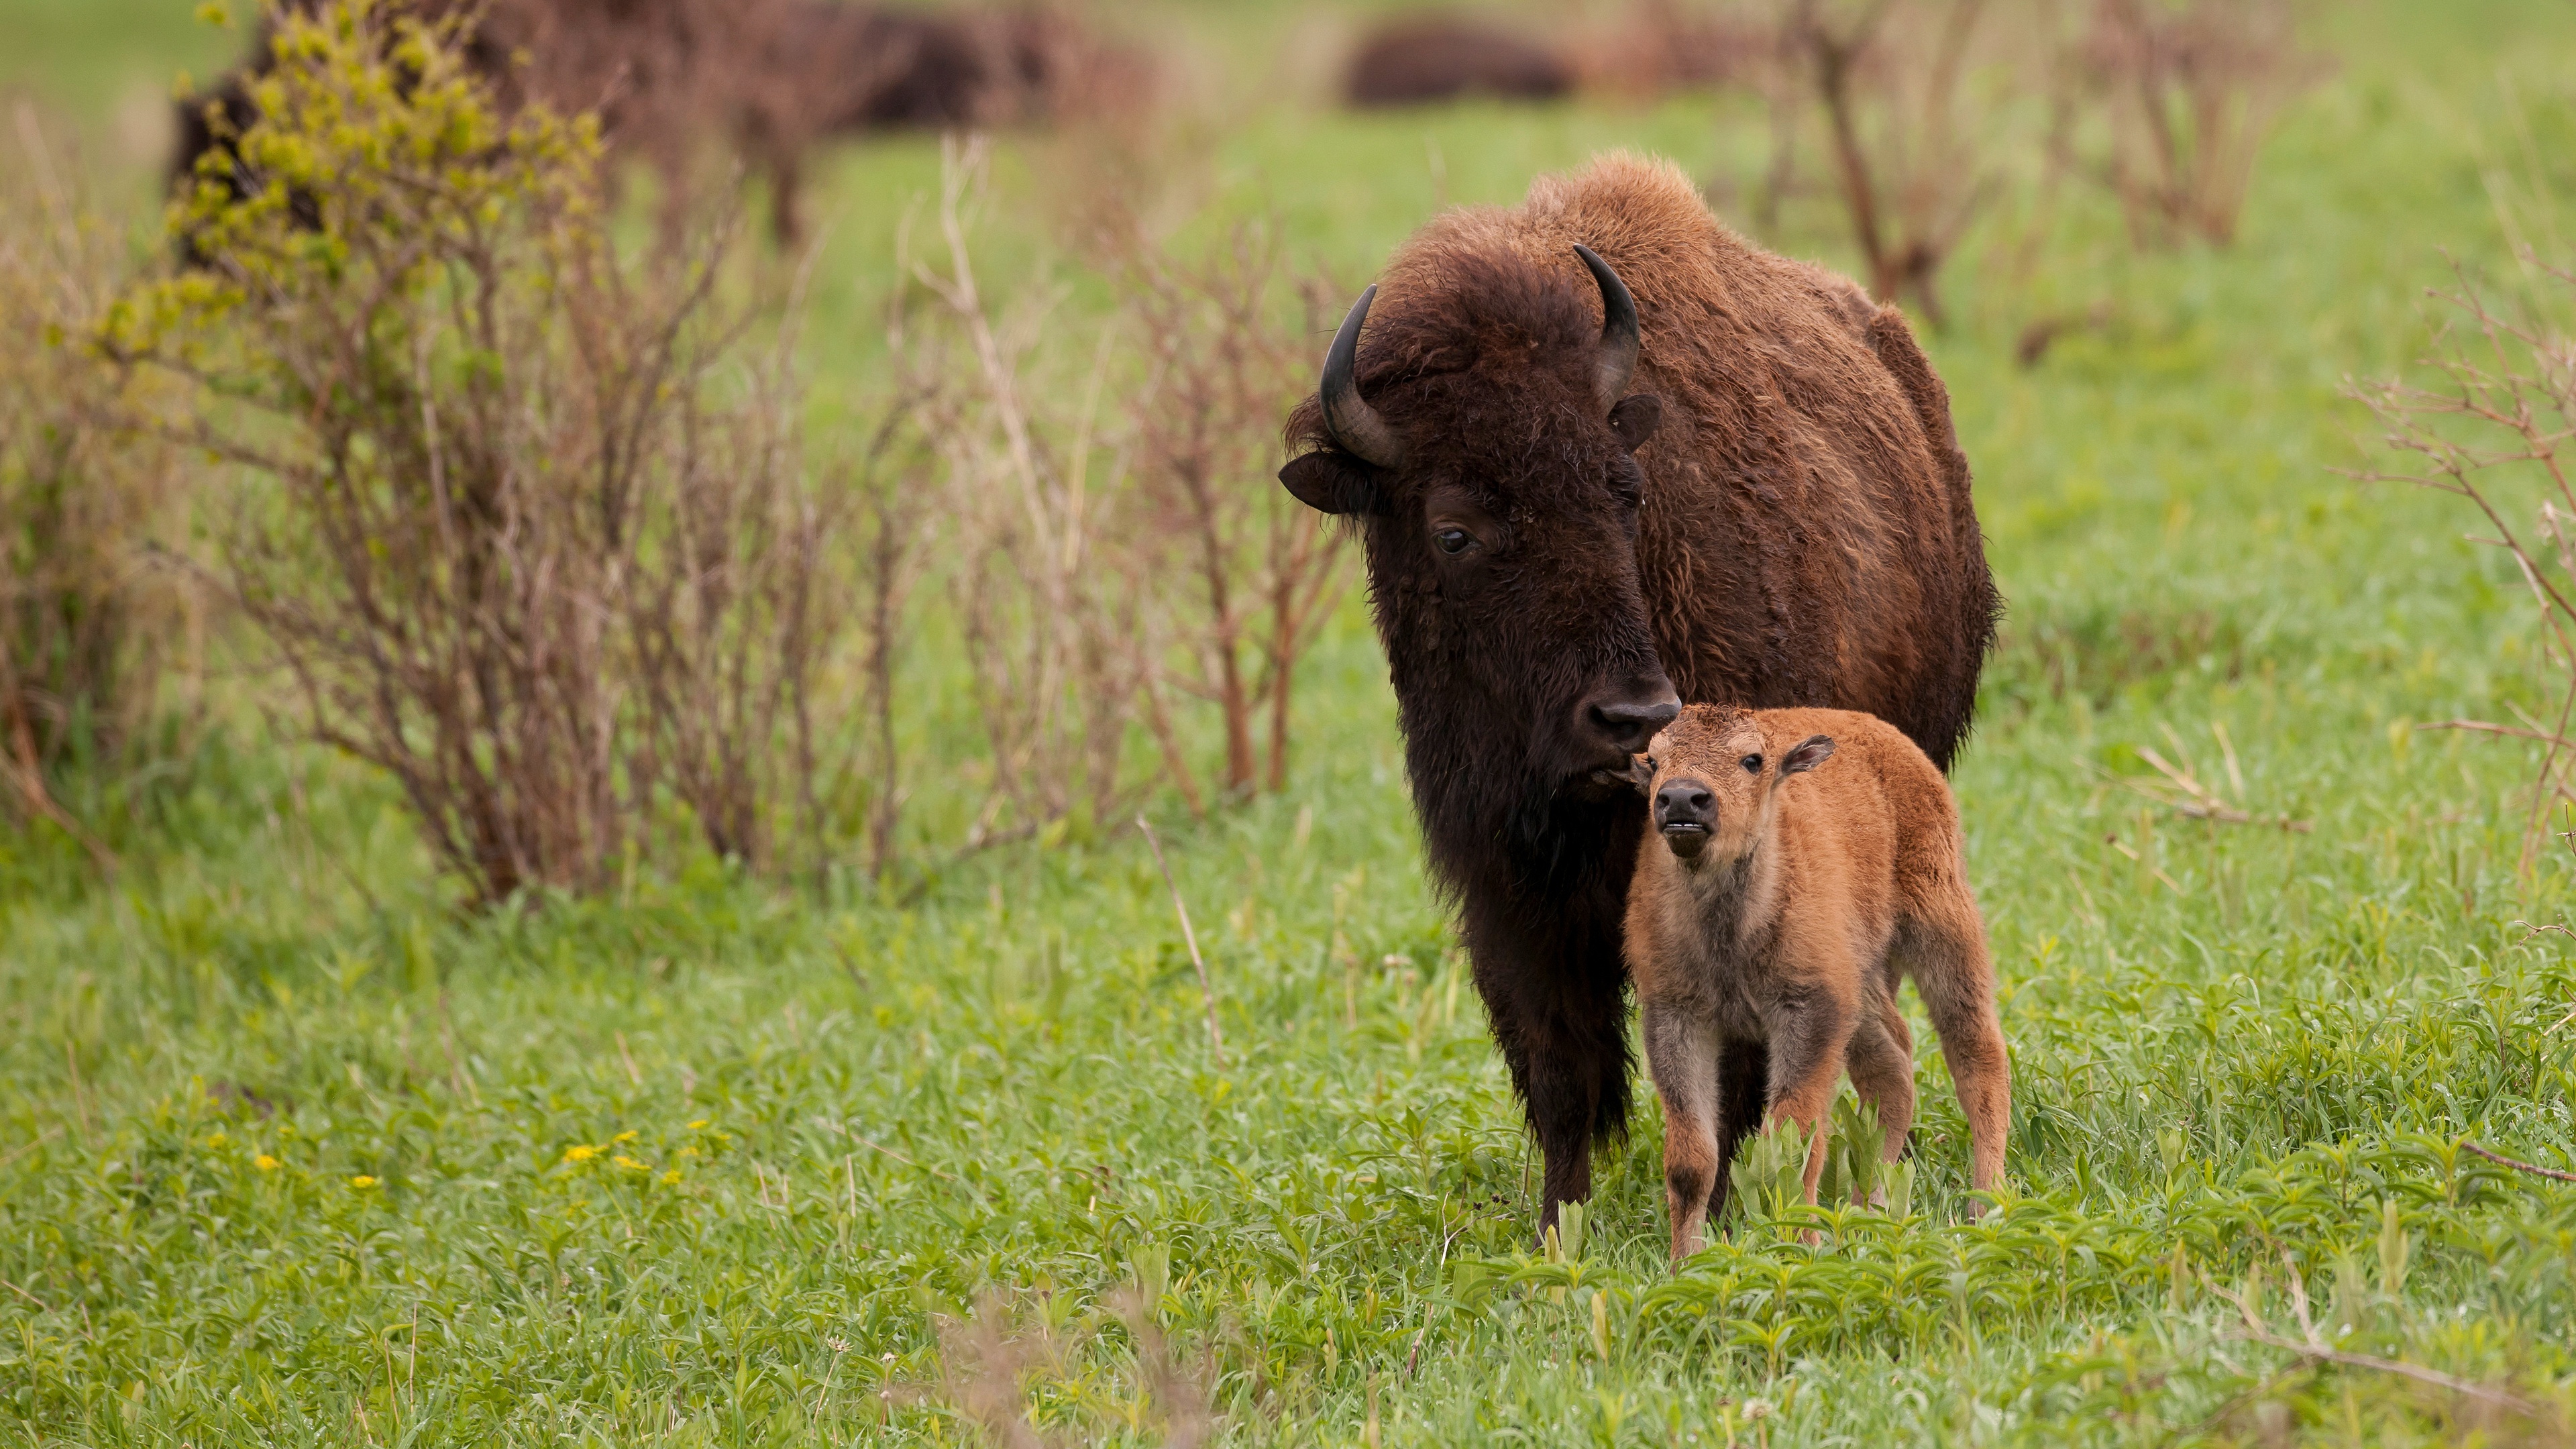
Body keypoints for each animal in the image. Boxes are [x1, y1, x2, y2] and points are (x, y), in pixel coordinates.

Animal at [1617, 701, 1998, 1252]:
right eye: (1655, 759)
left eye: (1752, 760)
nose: (1683, 799)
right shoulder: (1675, 1015)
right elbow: (1691, 1161)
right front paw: (1685, 1260)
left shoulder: (1810, 1010)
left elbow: (1793, 1143)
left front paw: (1801, 1244)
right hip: (1862, 986)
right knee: (1893, 1071)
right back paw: (1868, 1212)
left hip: (1942, 924)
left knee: (1976, 1054)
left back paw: (1985, 1206)